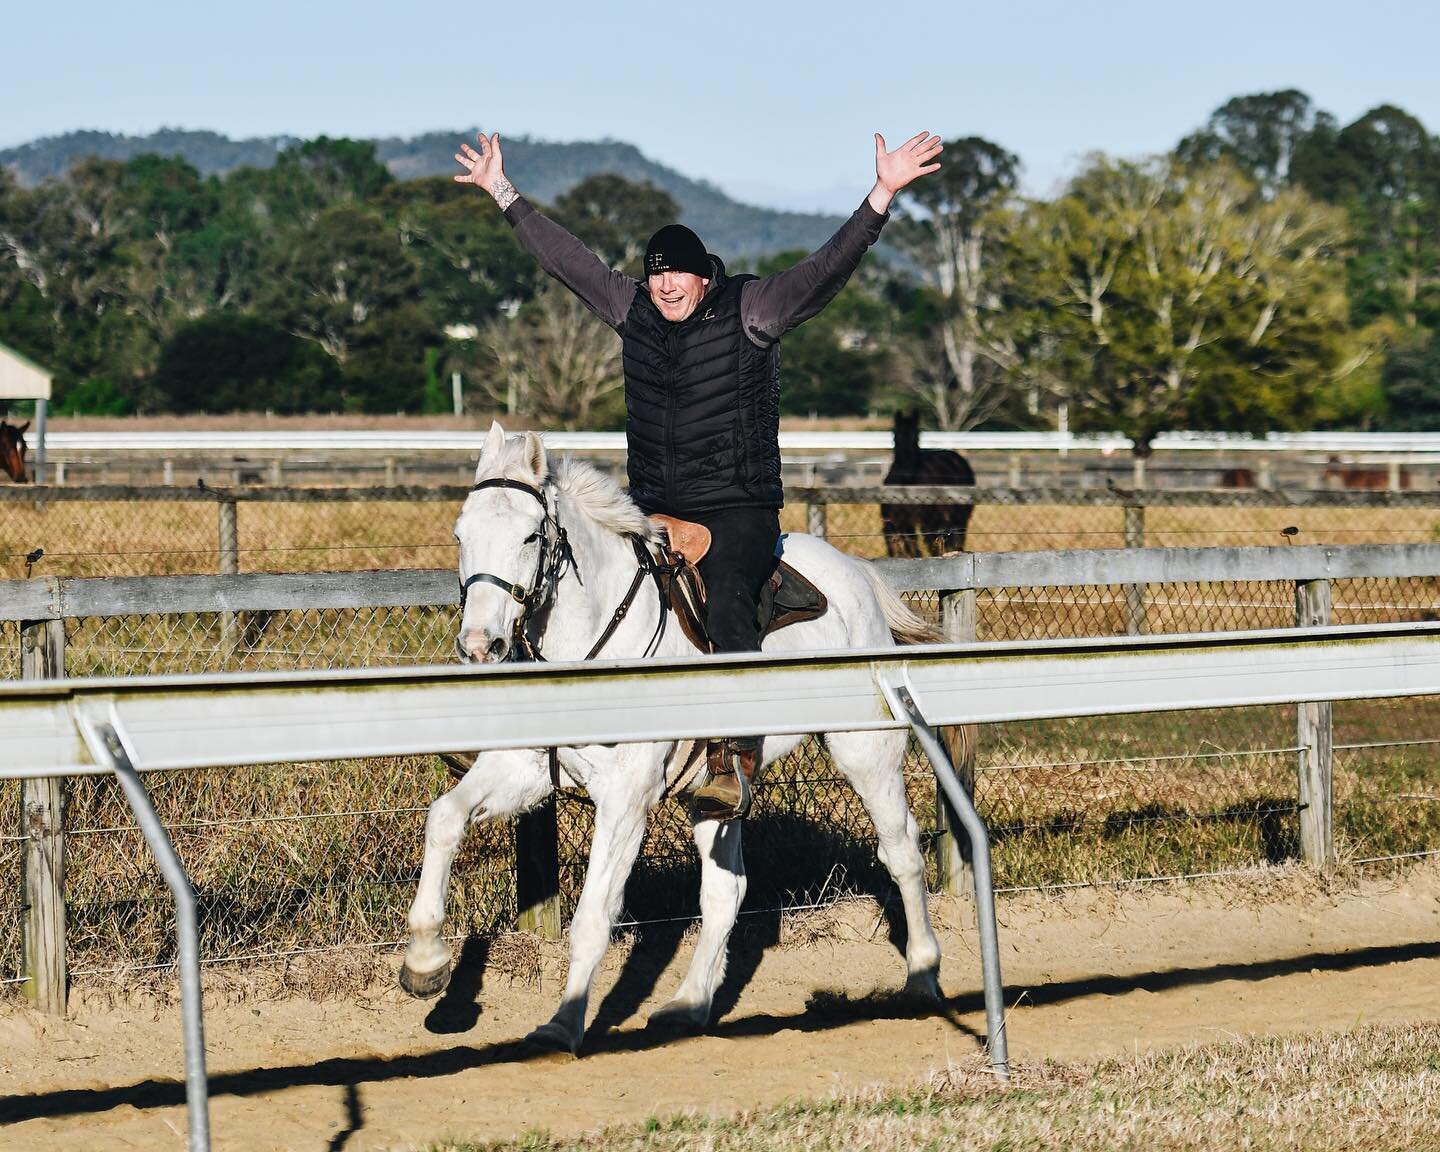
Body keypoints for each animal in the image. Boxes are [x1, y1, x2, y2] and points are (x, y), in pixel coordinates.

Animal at [400, 426, 950, 1054]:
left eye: (530, 535)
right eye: (460, 535)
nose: (480, 644)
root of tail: (857, 573)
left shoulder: (626, 798)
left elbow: (594, 914)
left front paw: (564, 1022)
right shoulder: (526, 770)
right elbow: (445, 817)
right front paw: (425, 965)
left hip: (866, 752)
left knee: (902, 852)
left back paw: (922, 976)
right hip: (715, 794)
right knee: (725, 892)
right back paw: (689, 1004)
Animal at [875, 411, 979, 561]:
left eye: (917, 435)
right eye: (895, 435)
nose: (907, 469)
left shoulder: (925, 522)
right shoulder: (901, 523)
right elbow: (912, 549)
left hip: (957, 518)